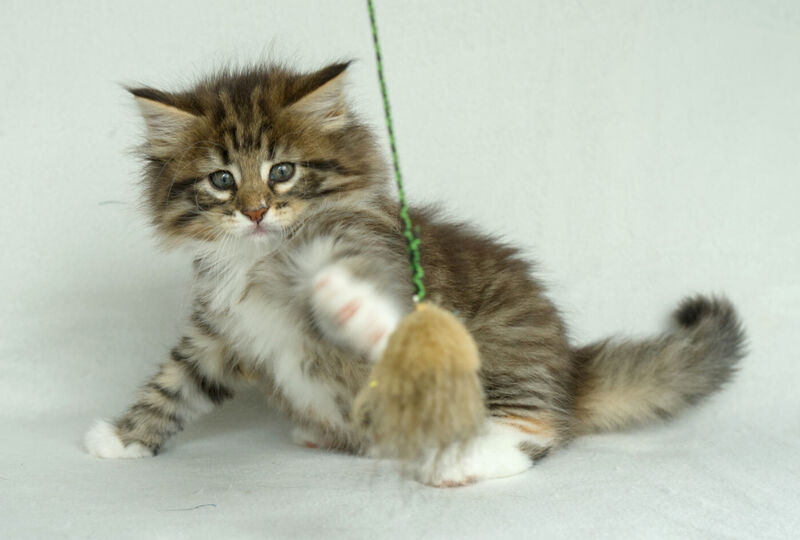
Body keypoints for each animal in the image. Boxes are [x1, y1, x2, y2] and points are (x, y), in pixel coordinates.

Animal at [84, 62, 748, 486]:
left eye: (283, 172)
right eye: (222, 180)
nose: (255, 211)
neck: (259, 260)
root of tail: (569, 370)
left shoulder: (373, 260)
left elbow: (369, 312)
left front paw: (347, 304)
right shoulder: (219, 333)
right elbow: (174, 384)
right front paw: (123, 438)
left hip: (506, 351)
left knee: (536, 430)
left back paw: (462, 461)